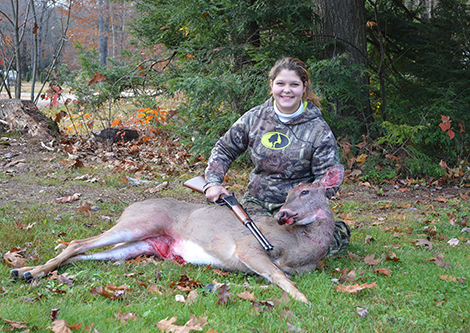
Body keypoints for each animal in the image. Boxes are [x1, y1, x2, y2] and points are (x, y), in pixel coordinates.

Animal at [10, 163, 342, 300]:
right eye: (289, 194)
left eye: (305, 192)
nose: (283, 215)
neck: (302, 249)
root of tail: (131, 206)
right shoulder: (248, 247)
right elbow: (278, 276)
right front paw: (304, 301)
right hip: (141, 223)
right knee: (77, 242)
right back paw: (28, 272)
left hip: (142, 245)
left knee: (84, 254)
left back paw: (23, 271)